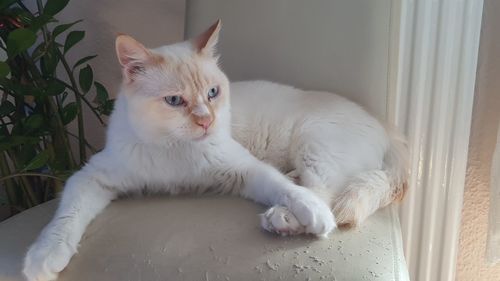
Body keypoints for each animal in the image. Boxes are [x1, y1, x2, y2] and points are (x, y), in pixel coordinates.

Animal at [22, 20, 406, 280]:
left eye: (212, 93)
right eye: (174, 101)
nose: (206, 121)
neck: (175, 149)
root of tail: (388, 129)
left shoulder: (246, 169)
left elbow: (287, 189)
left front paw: (309, 212)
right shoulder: (91, 177)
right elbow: (66, 217)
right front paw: (44, 257)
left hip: (315, 146)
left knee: (323, 190)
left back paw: (284, 218)